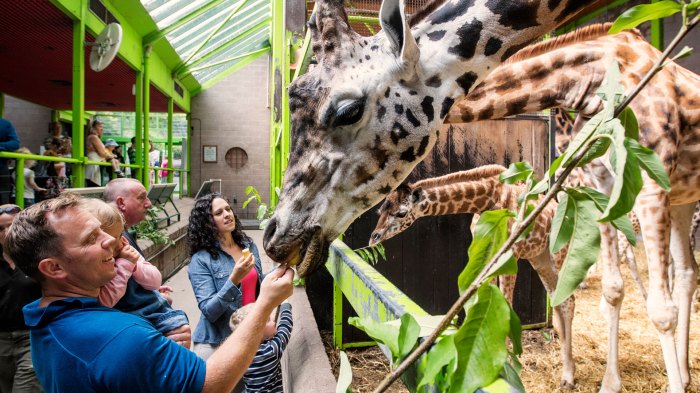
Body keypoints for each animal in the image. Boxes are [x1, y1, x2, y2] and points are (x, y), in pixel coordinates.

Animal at [370, 164, 576, 388]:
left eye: (401, 213)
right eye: (380, 210)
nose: (373, 237)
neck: (487, 199)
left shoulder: (510, 254)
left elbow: (507, 305)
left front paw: (508, 371)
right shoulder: (485, 252)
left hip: (560, 252)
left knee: (569, 299)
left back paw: (568, 377)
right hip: (540, 257)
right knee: (558, 299)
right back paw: (566, 370)